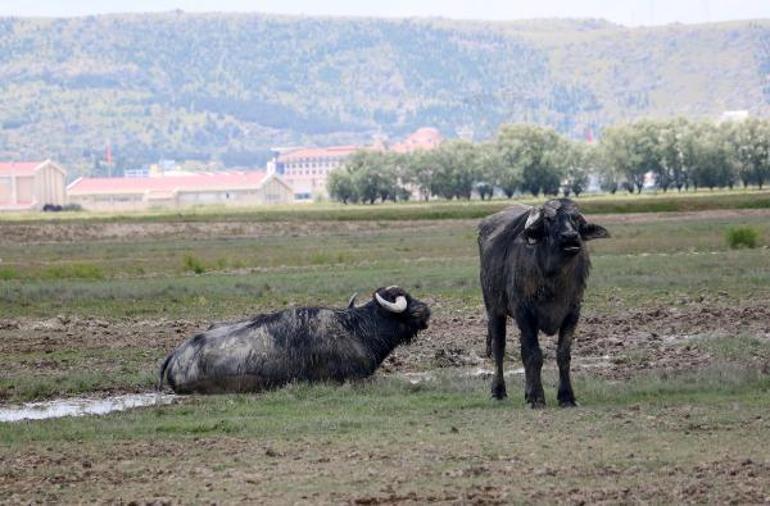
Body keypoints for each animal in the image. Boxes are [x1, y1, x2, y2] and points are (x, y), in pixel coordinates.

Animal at [476, 198, 608, 408]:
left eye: (576, 218)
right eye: (548, 219)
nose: (570, 236)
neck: (554, 279)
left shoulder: (573, 312)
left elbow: (563, 354)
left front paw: (566, 396)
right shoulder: (524, 313)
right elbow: (534, 355)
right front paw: (537, 397)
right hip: (494, 308)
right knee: (499, 348)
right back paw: (498, 390)